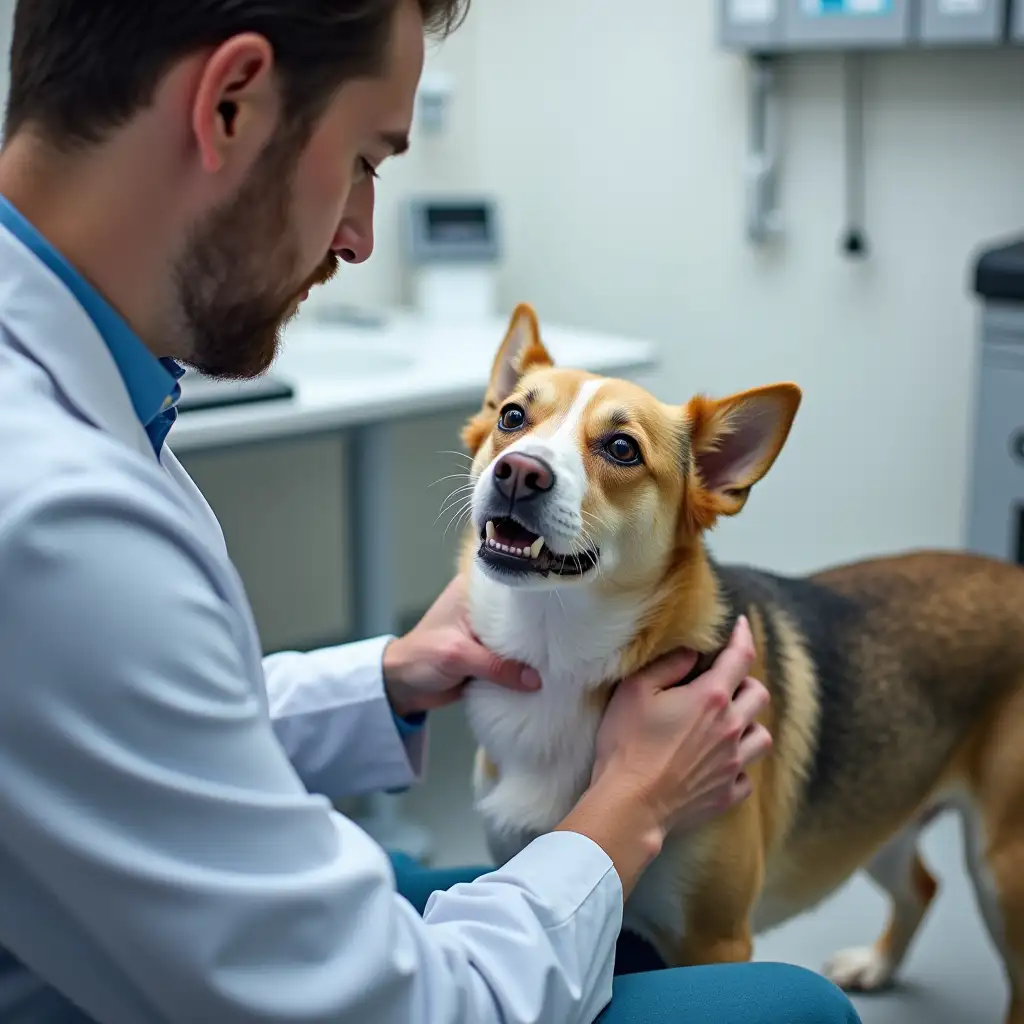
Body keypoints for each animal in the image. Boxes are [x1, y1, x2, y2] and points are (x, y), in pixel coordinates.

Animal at [458, 303, 1024, 1024]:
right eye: (511, 417)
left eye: (621, 449)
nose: (519, 472)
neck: (558, 657)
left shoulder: (716, 940)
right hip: (884, 800)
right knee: (922, 884)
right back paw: (876, 964)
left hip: (1004, 868)